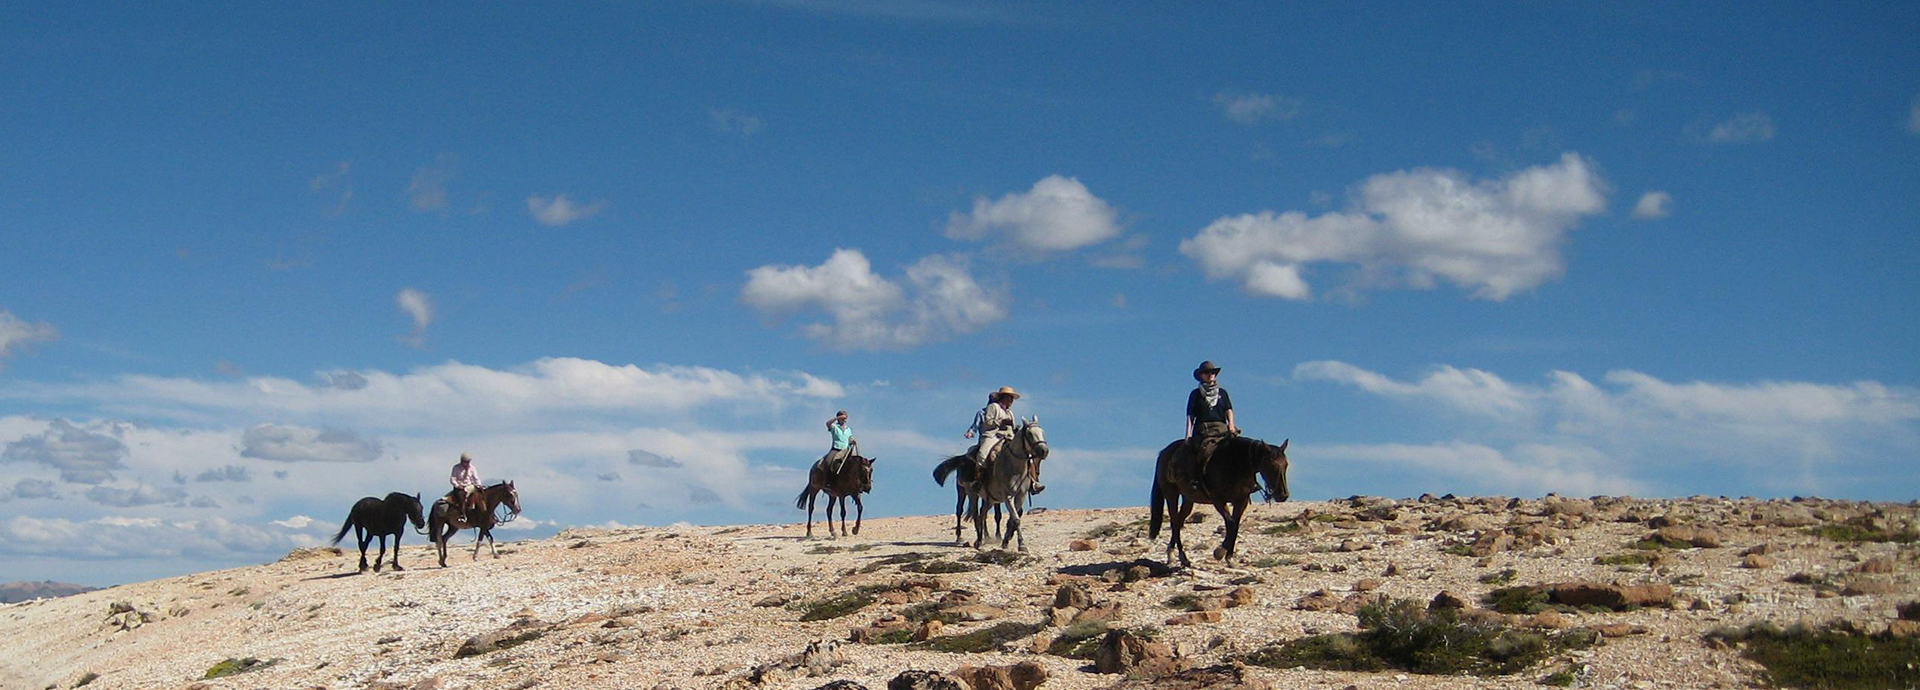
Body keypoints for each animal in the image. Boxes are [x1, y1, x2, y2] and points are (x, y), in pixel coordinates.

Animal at [932, 418, 1048, 551]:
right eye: (1029, 434)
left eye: (1042, 432)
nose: (1044, 451)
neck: (1013, 466)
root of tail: (963, 458)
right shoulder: (1007, 496)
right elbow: (1015, 519)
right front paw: (1020, 544)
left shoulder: (1020, 495)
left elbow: (1013, 518)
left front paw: (1006, 540)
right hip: (967, 492)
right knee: (966, 512)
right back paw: (967, 538)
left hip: (989, 499)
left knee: (982, 513)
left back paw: (983, 538)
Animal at [1148, 436, 1289, 568]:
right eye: (1270, 465)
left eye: (1286, 465)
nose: (1283, 495)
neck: (1235, 464)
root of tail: (1164, 452)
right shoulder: (1219, 500)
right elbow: (1231, 523)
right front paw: (1220, 552)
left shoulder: (1241, 501)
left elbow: (1235, 525)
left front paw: (1229, 558)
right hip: (1171, 494)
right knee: (1174, 521)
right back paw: (1178, 555)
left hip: (1188, 499)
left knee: (1178, 521)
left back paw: (1177, 556)